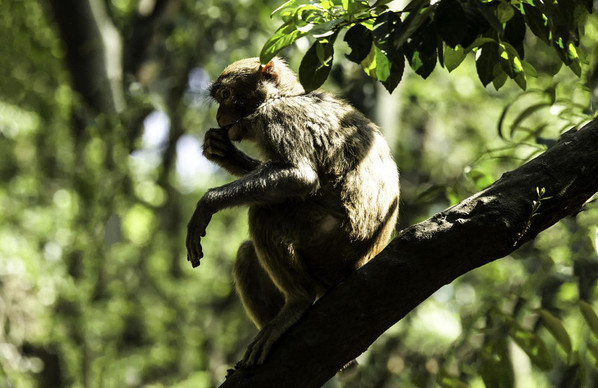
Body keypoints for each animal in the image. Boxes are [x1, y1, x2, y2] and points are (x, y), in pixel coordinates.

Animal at [186, 57, 404, 366]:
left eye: (226, 95)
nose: (219, 116)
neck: (282, 96)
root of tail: (364, 259)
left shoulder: (278, 118)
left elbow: (299, 177)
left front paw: (208, 203)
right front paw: (224, 153)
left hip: (330, 243)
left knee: (264, 213)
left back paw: (298, 301)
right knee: (247, 251)